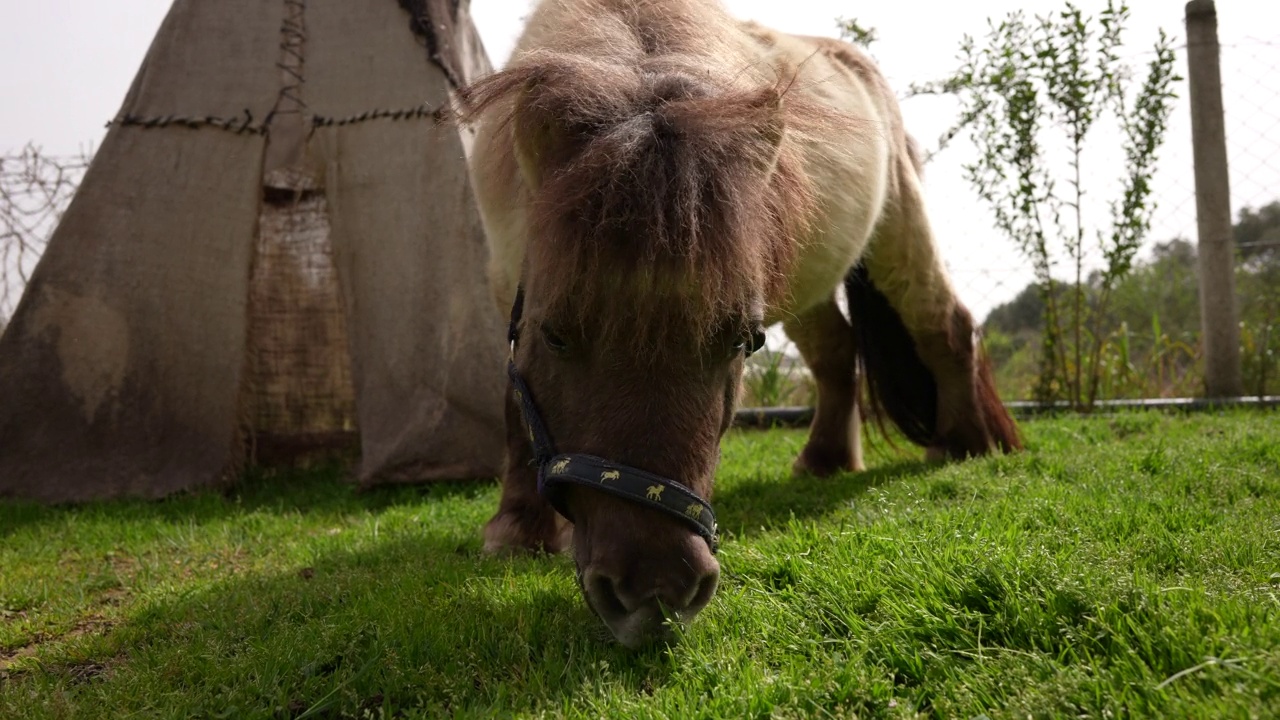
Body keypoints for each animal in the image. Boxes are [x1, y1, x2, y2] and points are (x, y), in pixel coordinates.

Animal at [455, 0, 1024, 648]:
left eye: (740, 342)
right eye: (555, 334)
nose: (656, 589)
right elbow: (513, 407)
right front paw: (518, 529)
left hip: (900, 234)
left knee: (944, 327)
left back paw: (962, 444)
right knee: (836, 355)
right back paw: (824, 462)